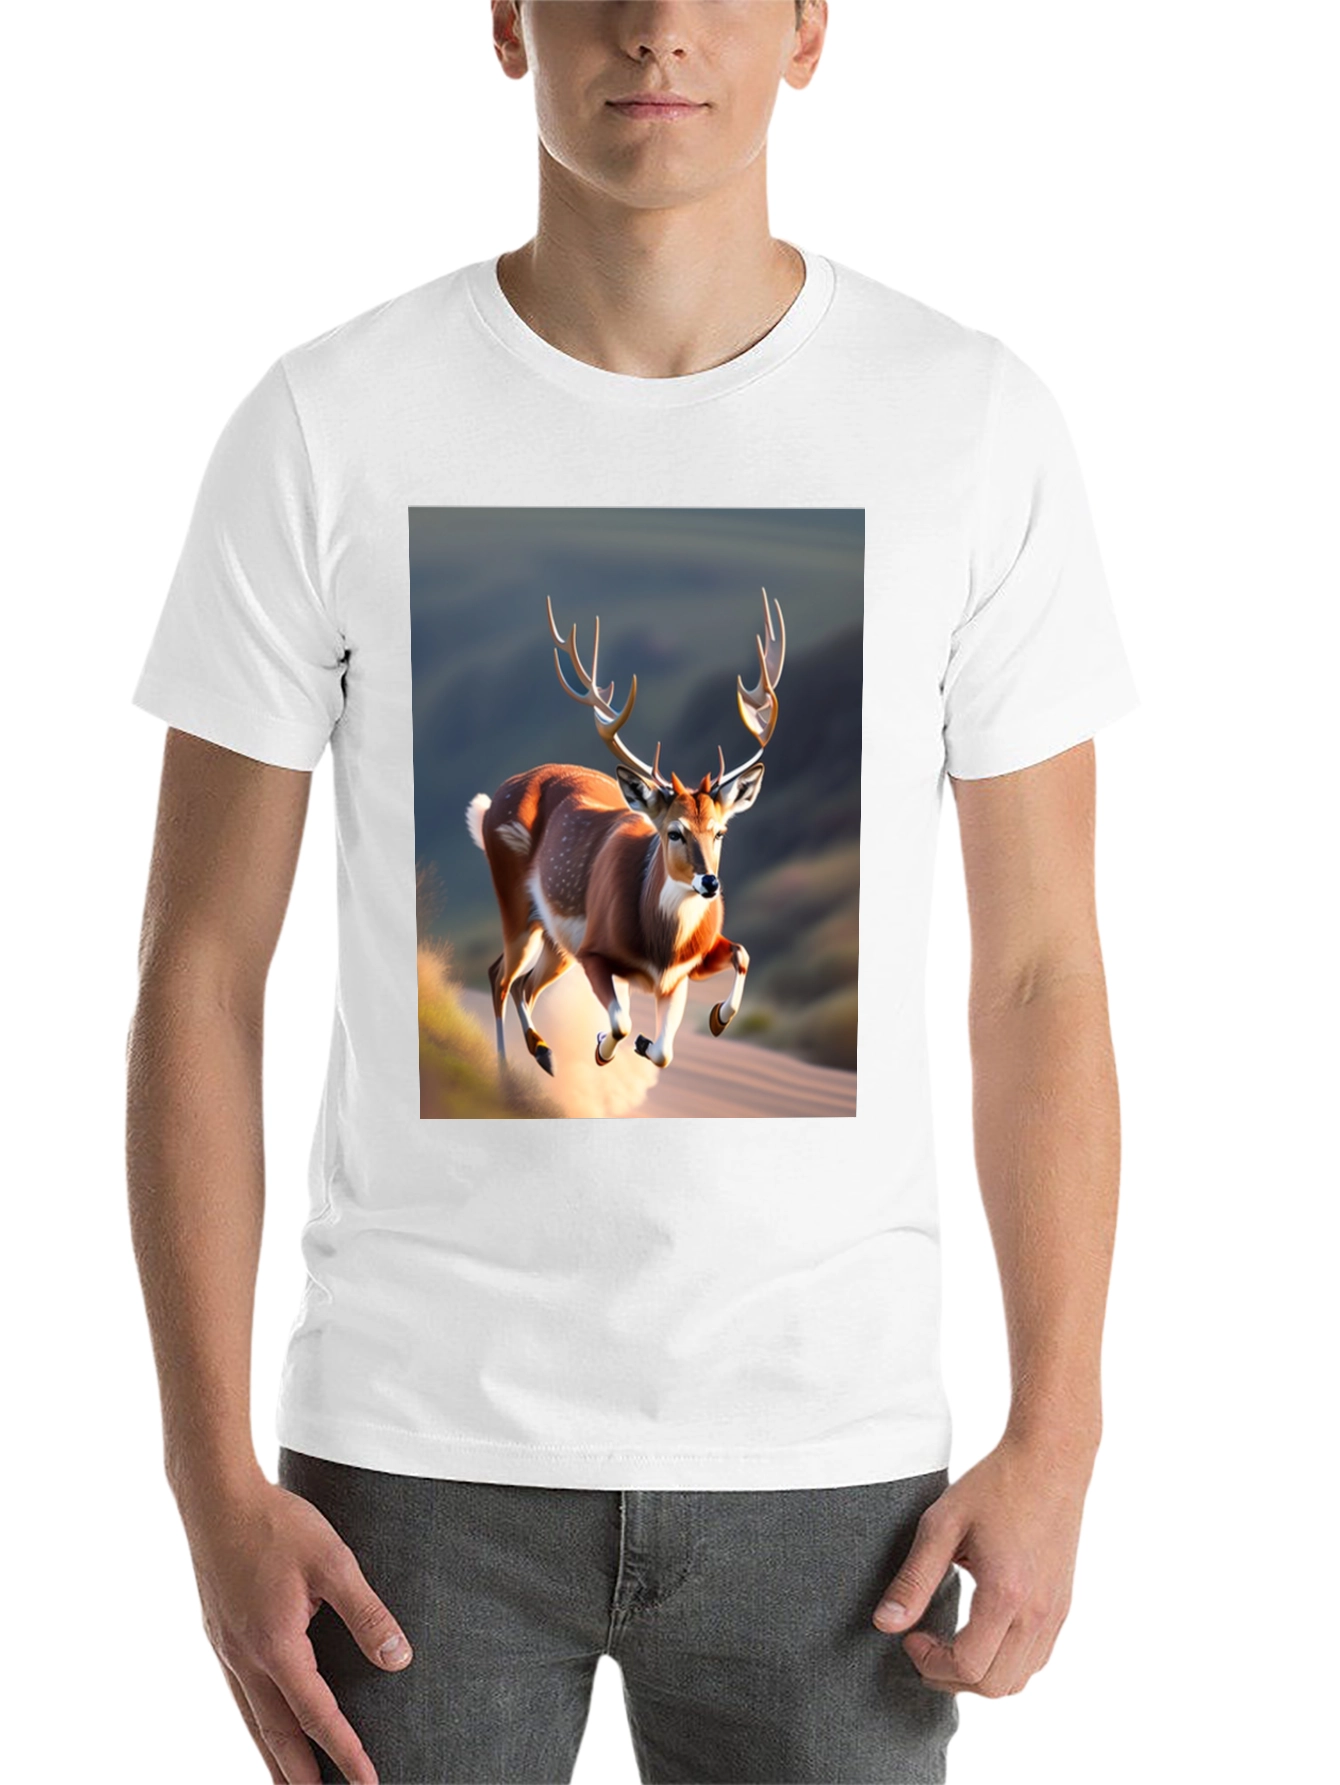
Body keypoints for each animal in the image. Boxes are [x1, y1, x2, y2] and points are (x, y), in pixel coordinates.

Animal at [465, 588, 785, 1079]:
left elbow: (677, 1035)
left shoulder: (680, 972)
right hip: (516, 904)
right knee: (500, 977)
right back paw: (505, 1071)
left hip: (555, 940)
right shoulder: (595, 952)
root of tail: (492, 801)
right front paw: (603, 1046)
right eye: (674, 832)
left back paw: (544, 1052)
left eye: (720, 832)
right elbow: (620, 1020)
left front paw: (710, 1020)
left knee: (521, 984)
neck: (660, 947)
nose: (710, 882)